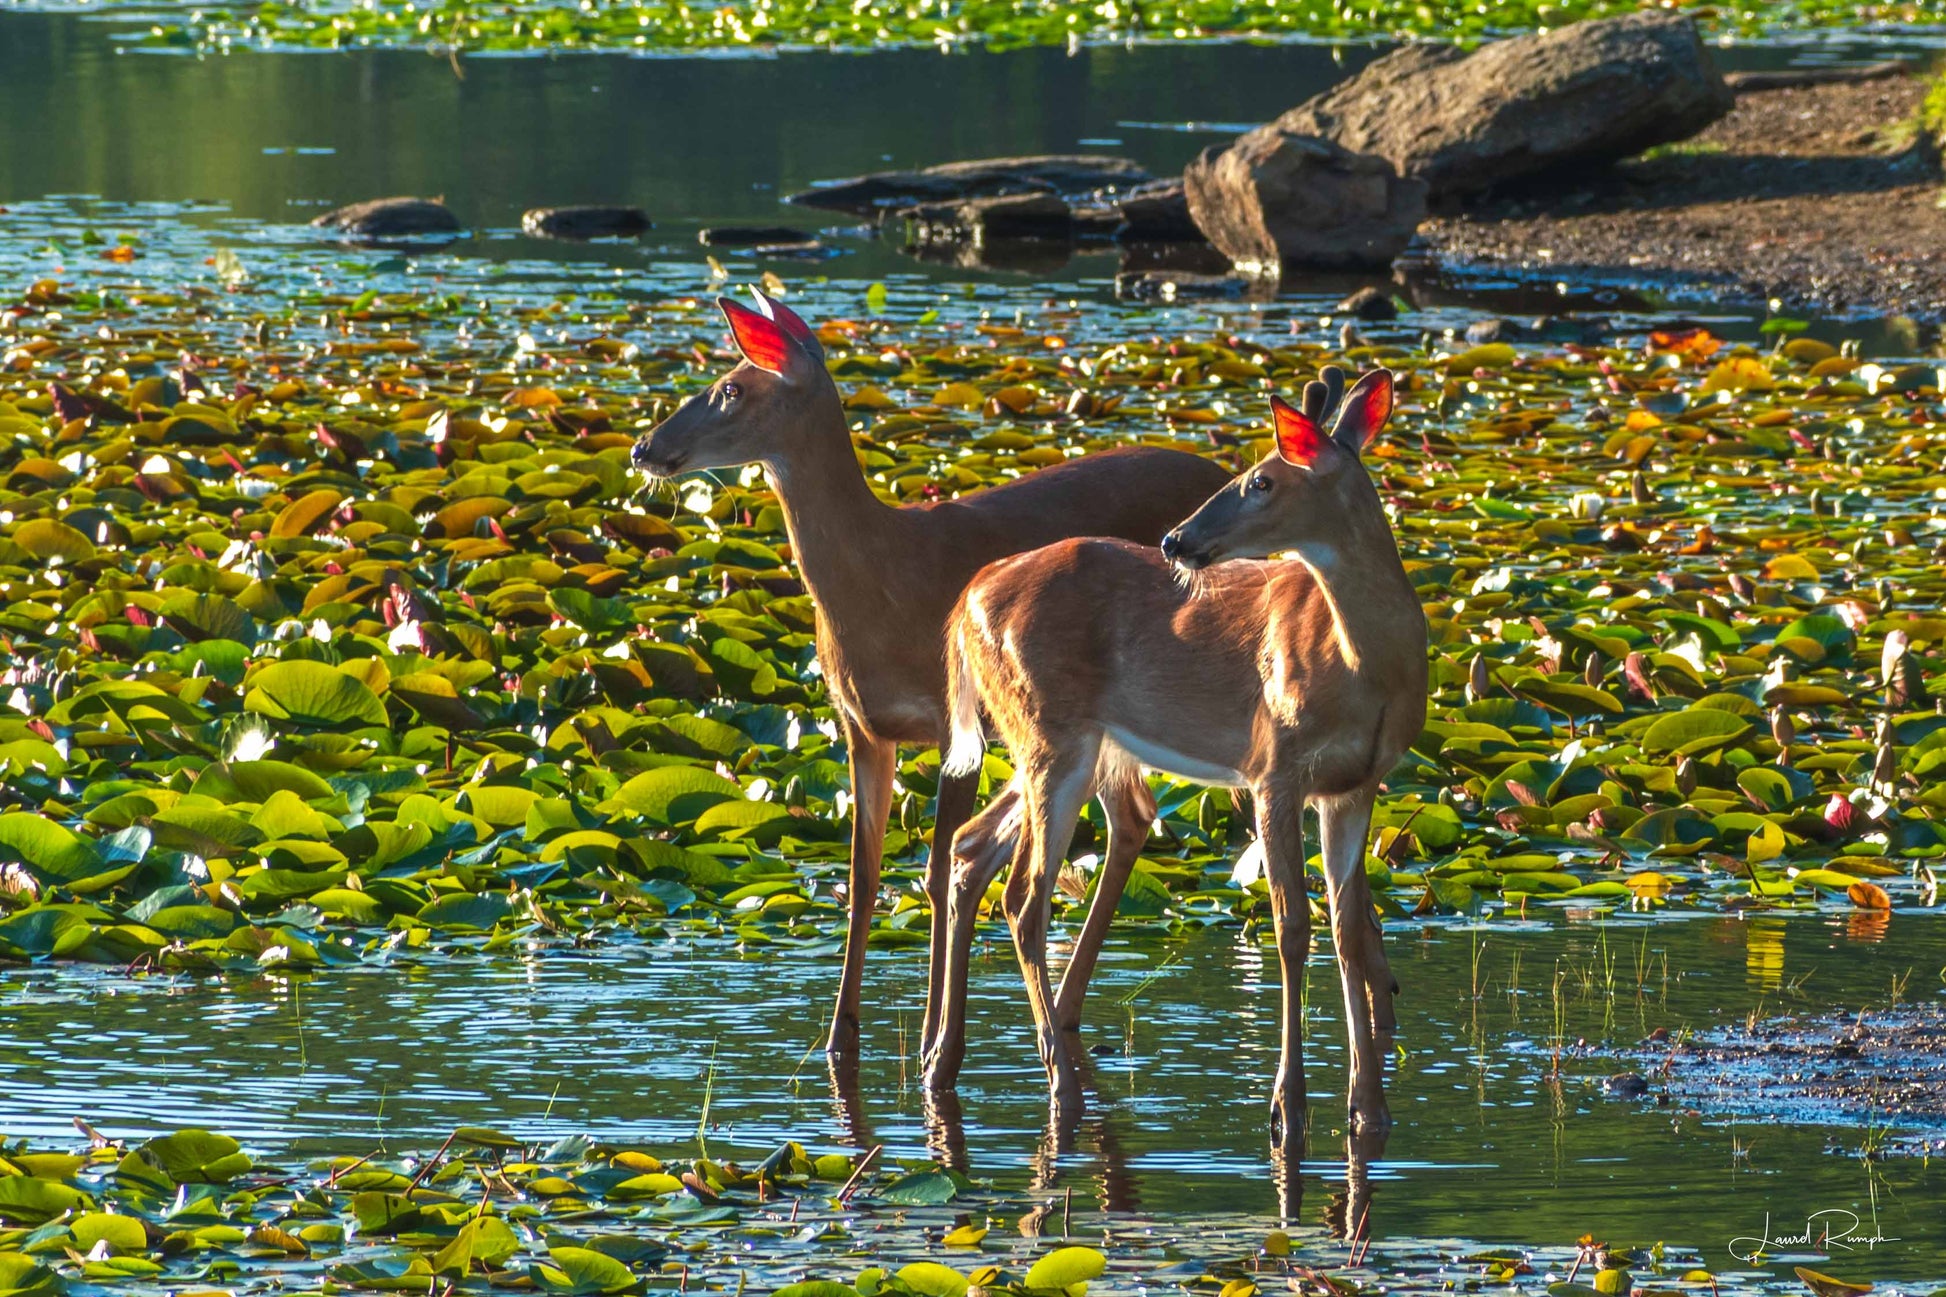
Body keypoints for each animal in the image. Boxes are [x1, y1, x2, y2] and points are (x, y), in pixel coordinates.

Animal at [631, 291, 1235, 1063]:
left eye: (732, 388)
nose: (644, 449)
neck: (885, 581)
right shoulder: (859, 725)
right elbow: (864, 877)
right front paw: (841, 1038)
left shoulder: (956, 726)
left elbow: (935, 867)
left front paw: (930, 1039)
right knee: (1127, 818)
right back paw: (1066, 1015)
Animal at [928, 367, 1425, 1144]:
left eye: (1261, 481)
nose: (1176, 538)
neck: (1365, 670)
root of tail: (967, 597)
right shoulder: (1273, 765)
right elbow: (1292, 926)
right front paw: (1287, 1109)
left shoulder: (1355, 785)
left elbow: (1348, 930)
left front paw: (1369, 1109)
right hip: (1049, 734)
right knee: (1025, 896)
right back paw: (1061, 1088)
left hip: (1063, 742)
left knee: (971, 847)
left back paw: (944, 1066)